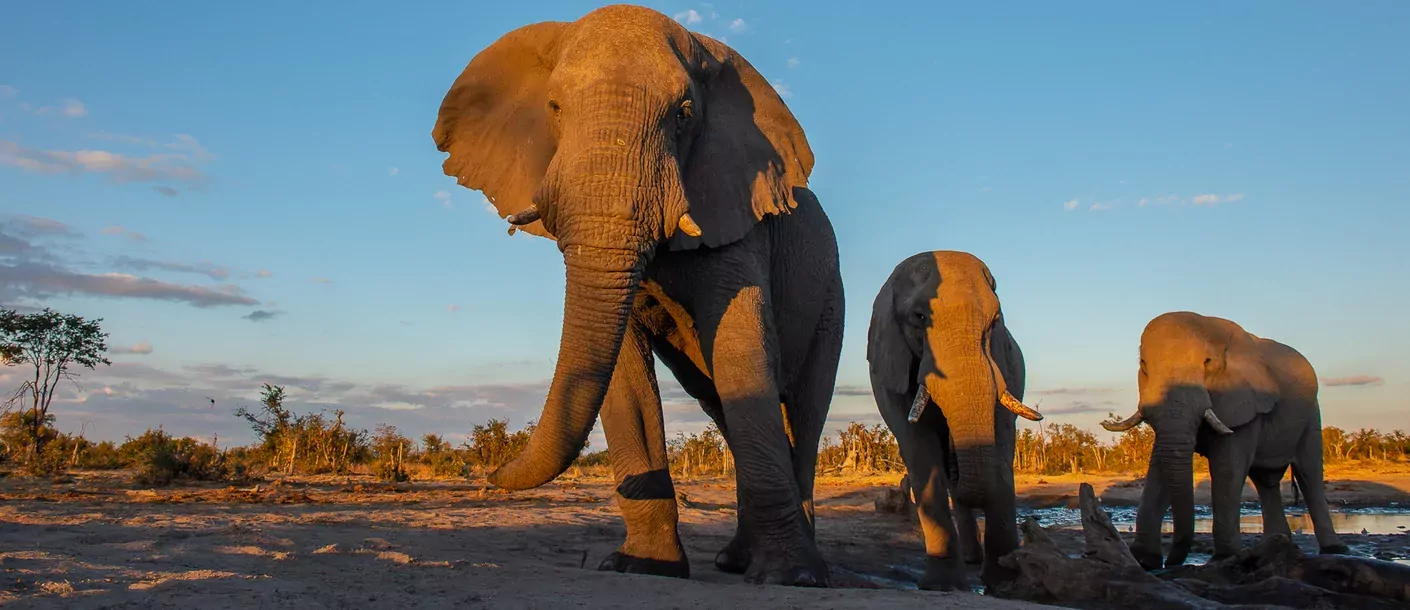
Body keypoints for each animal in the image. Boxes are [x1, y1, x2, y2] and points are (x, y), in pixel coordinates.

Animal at [428, 3, 840, 586]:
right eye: (554, 108)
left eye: (685, 114)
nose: (486, 470)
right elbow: (623, 376)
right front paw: (640, 567)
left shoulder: (737, 214)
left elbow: (741, 352)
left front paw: (789, 577)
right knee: (723, 406)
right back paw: (733, 561)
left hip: (831, 299)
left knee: (801, 411)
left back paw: (798, 565)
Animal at [862, 249, 1043, 586]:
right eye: (919, 317)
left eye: (995, 321)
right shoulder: (889, 369)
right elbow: (917, 447)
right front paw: (941, 585)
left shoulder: (1001, 363)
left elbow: (1001, 440)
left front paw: (1004, 581)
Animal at [1094, 311, 1347, 569]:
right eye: (1144, 366)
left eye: (1207, 363)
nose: (1173, 562)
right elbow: (1160, 468)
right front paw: (1145, 561)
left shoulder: (1244, 400)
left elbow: (1227, 468)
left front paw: (1224, 558)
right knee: (1265, 481)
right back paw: (1277, 543)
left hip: (1311, 413)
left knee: (1309, 474)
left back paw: (1335, 549)